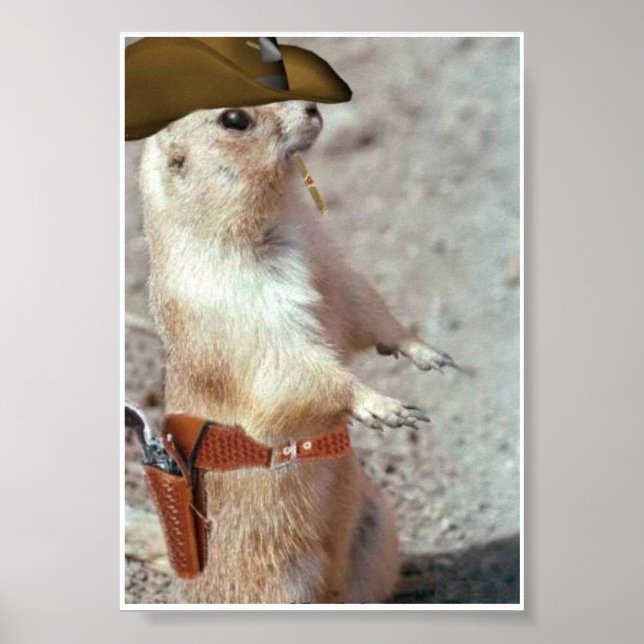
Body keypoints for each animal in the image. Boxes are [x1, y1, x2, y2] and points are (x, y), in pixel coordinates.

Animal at [138, 100, 458, 603]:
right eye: (234, 119)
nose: (312, 106)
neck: (277, 224)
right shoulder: (241, 316)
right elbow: (293, 369)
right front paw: (385, 406)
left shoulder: (331, 266)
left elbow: (365, 307)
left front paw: (427, 353)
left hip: (378, 528)